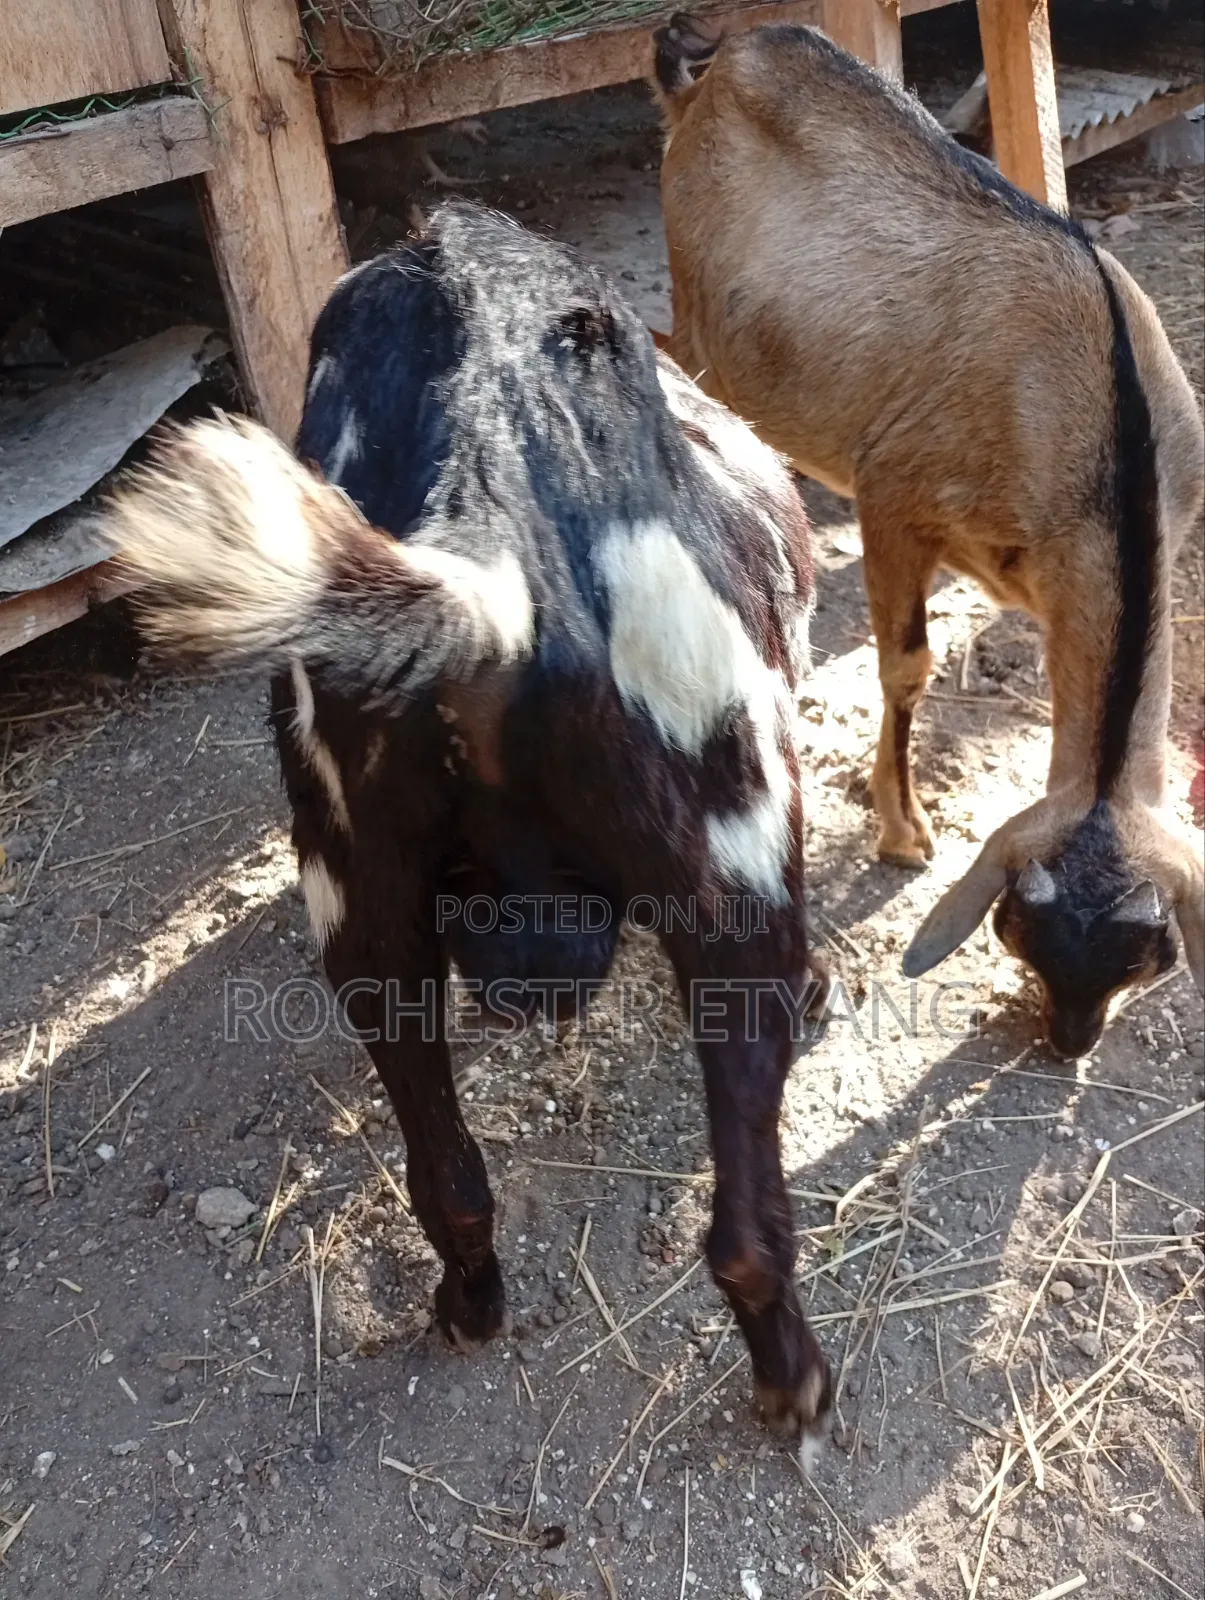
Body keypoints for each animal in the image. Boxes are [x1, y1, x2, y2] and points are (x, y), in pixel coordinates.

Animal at [107, 203, 831, 1444]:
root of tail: (485, 545)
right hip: (735, 884)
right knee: (745, 1230)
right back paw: (793, 1383)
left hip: (365, 912)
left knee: (448, 1181)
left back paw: (469, 1309)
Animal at [651, 17, 1205, 1058]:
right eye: (1018, 931)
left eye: (1144, 959)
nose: (1069, 1041)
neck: (1098, 421)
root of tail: (717, 58)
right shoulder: (895, 492)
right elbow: (907, 665)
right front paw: (901, 830)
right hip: (700, 312)